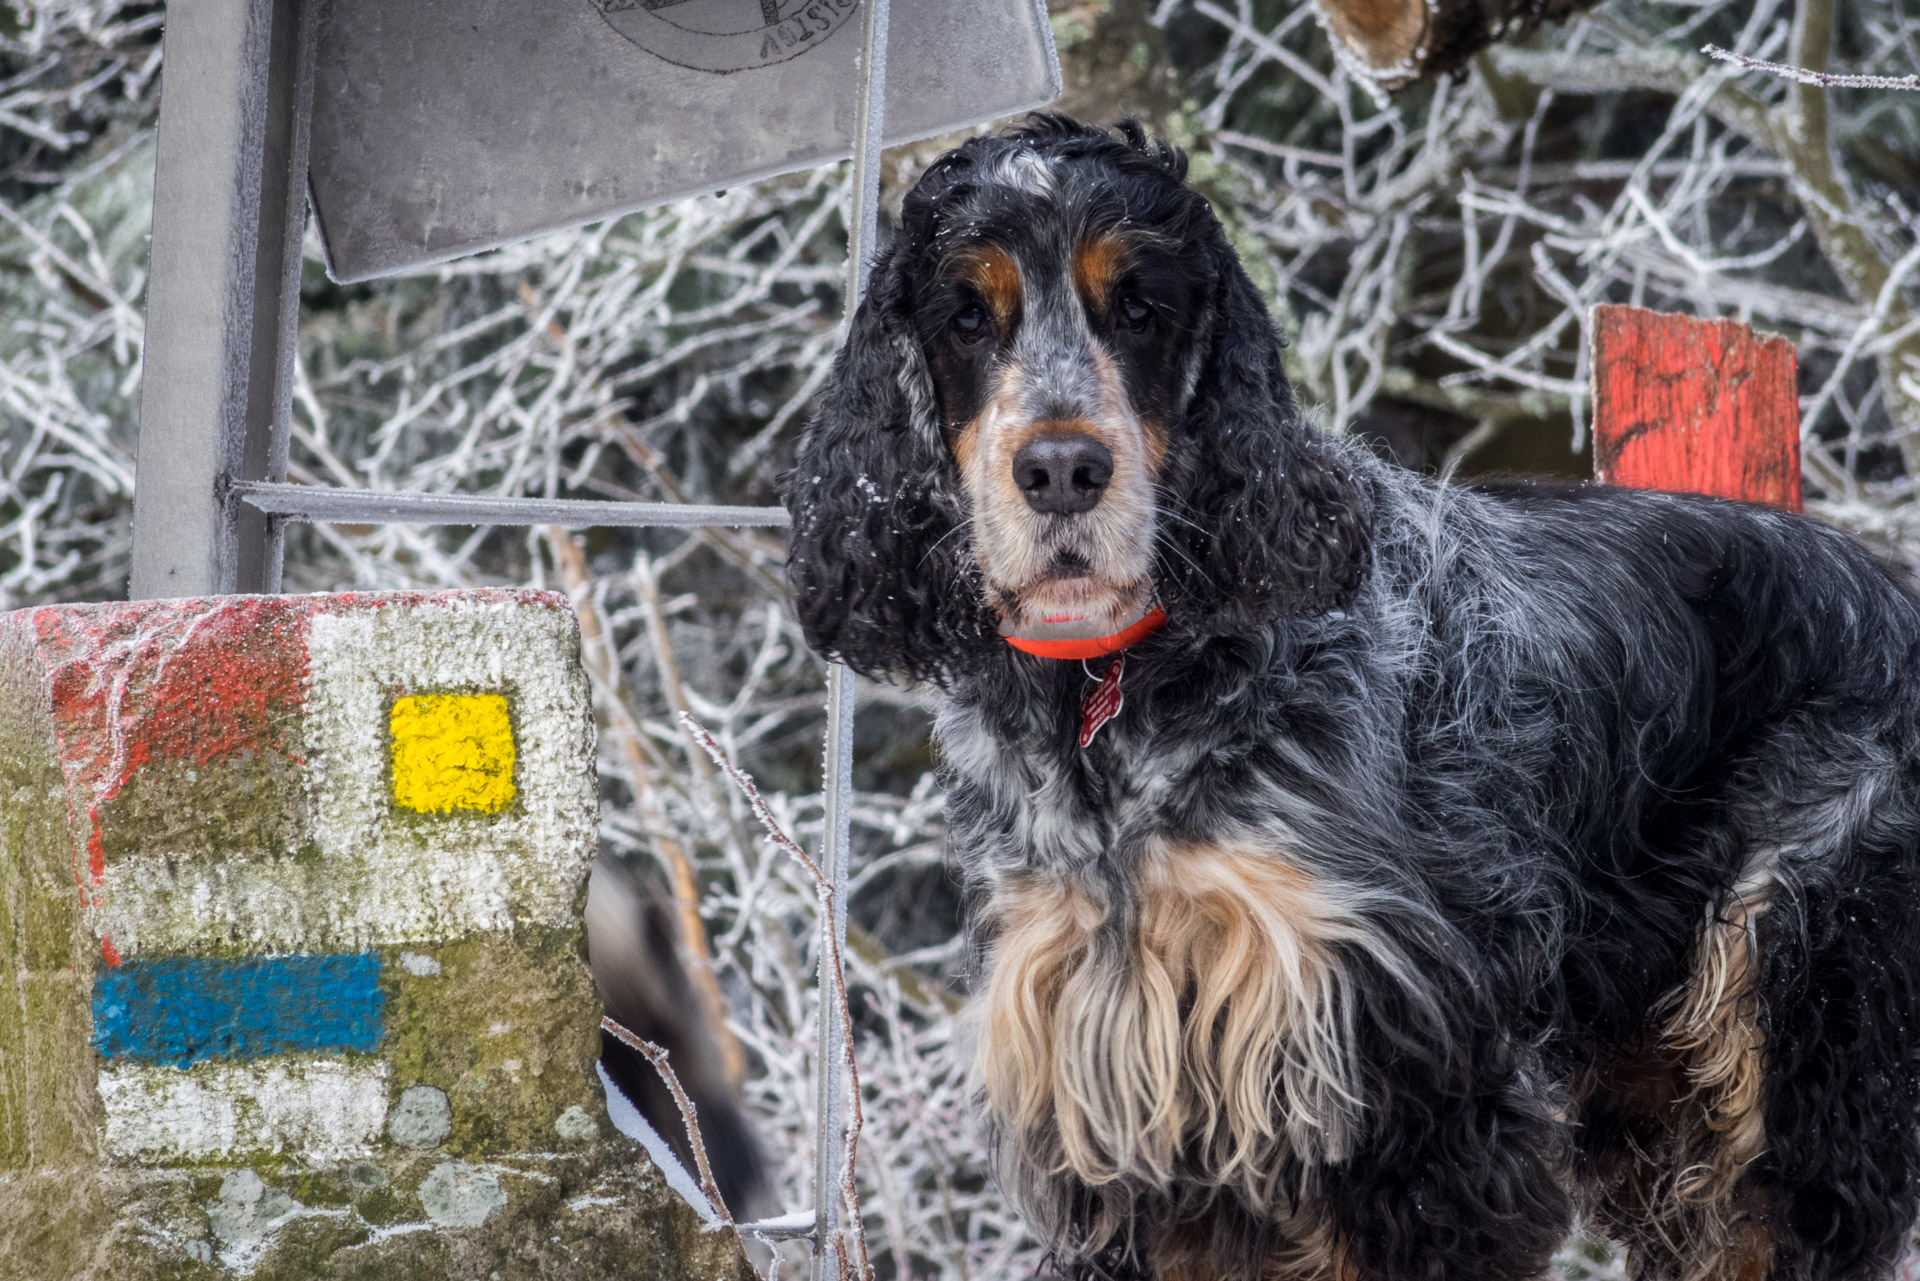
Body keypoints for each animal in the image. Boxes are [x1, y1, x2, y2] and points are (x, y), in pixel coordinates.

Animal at [779, 115, 1920, 1281]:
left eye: (1140, 307)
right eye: (967, 316)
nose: (1061, 471)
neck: (1111, 705)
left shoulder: (1403, 1079)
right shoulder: (1124, 1112)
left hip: (1798, 999)